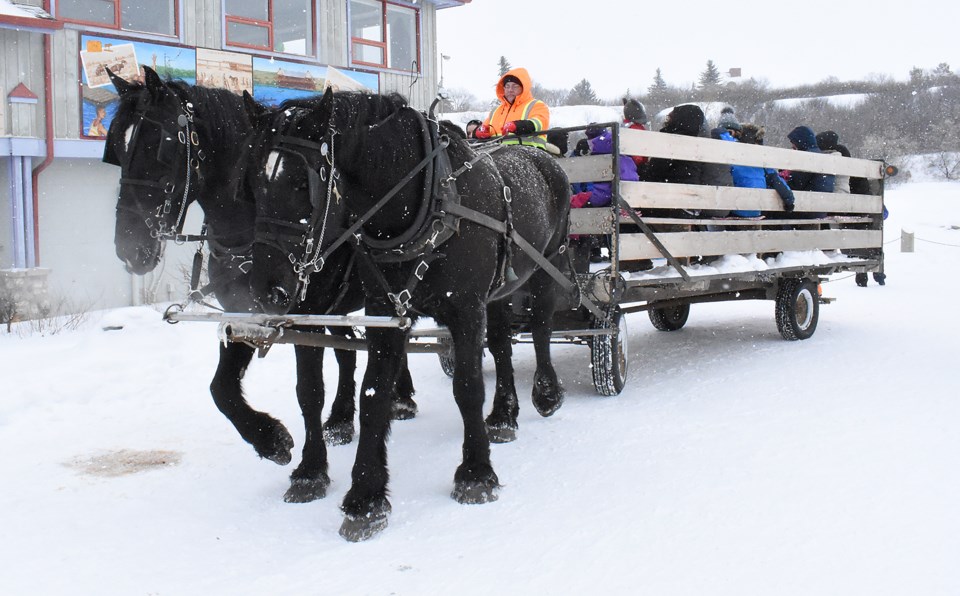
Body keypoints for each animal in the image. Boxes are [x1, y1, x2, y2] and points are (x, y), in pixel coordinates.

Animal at [105, 66, 416, 502]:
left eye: (160, 146)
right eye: (117, 149)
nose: (128, 248)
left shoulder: (303, 313)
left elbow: (308, 389)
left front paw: (307, 470)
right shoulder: (247, 313)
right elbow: (221, 389)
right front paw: (271, 440)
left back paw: (399, 400)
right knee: (351, 353)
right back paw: (343, 419)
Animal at [240, 91, 568, 544]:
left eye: (302, 183)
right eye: (253, 183)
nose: (265, 290)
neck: (428, 200)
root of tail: (540, 155)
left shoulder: (465, 308)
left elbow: (467, 388)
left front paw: (475, 474)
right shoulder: (385, 310)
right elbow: (370, 394)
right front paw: (364, 497)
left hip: (546, 266)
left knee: (540, 327)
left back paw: (546, 392)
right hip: (501, 287)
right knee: (502, 341)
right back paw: (504, 415)